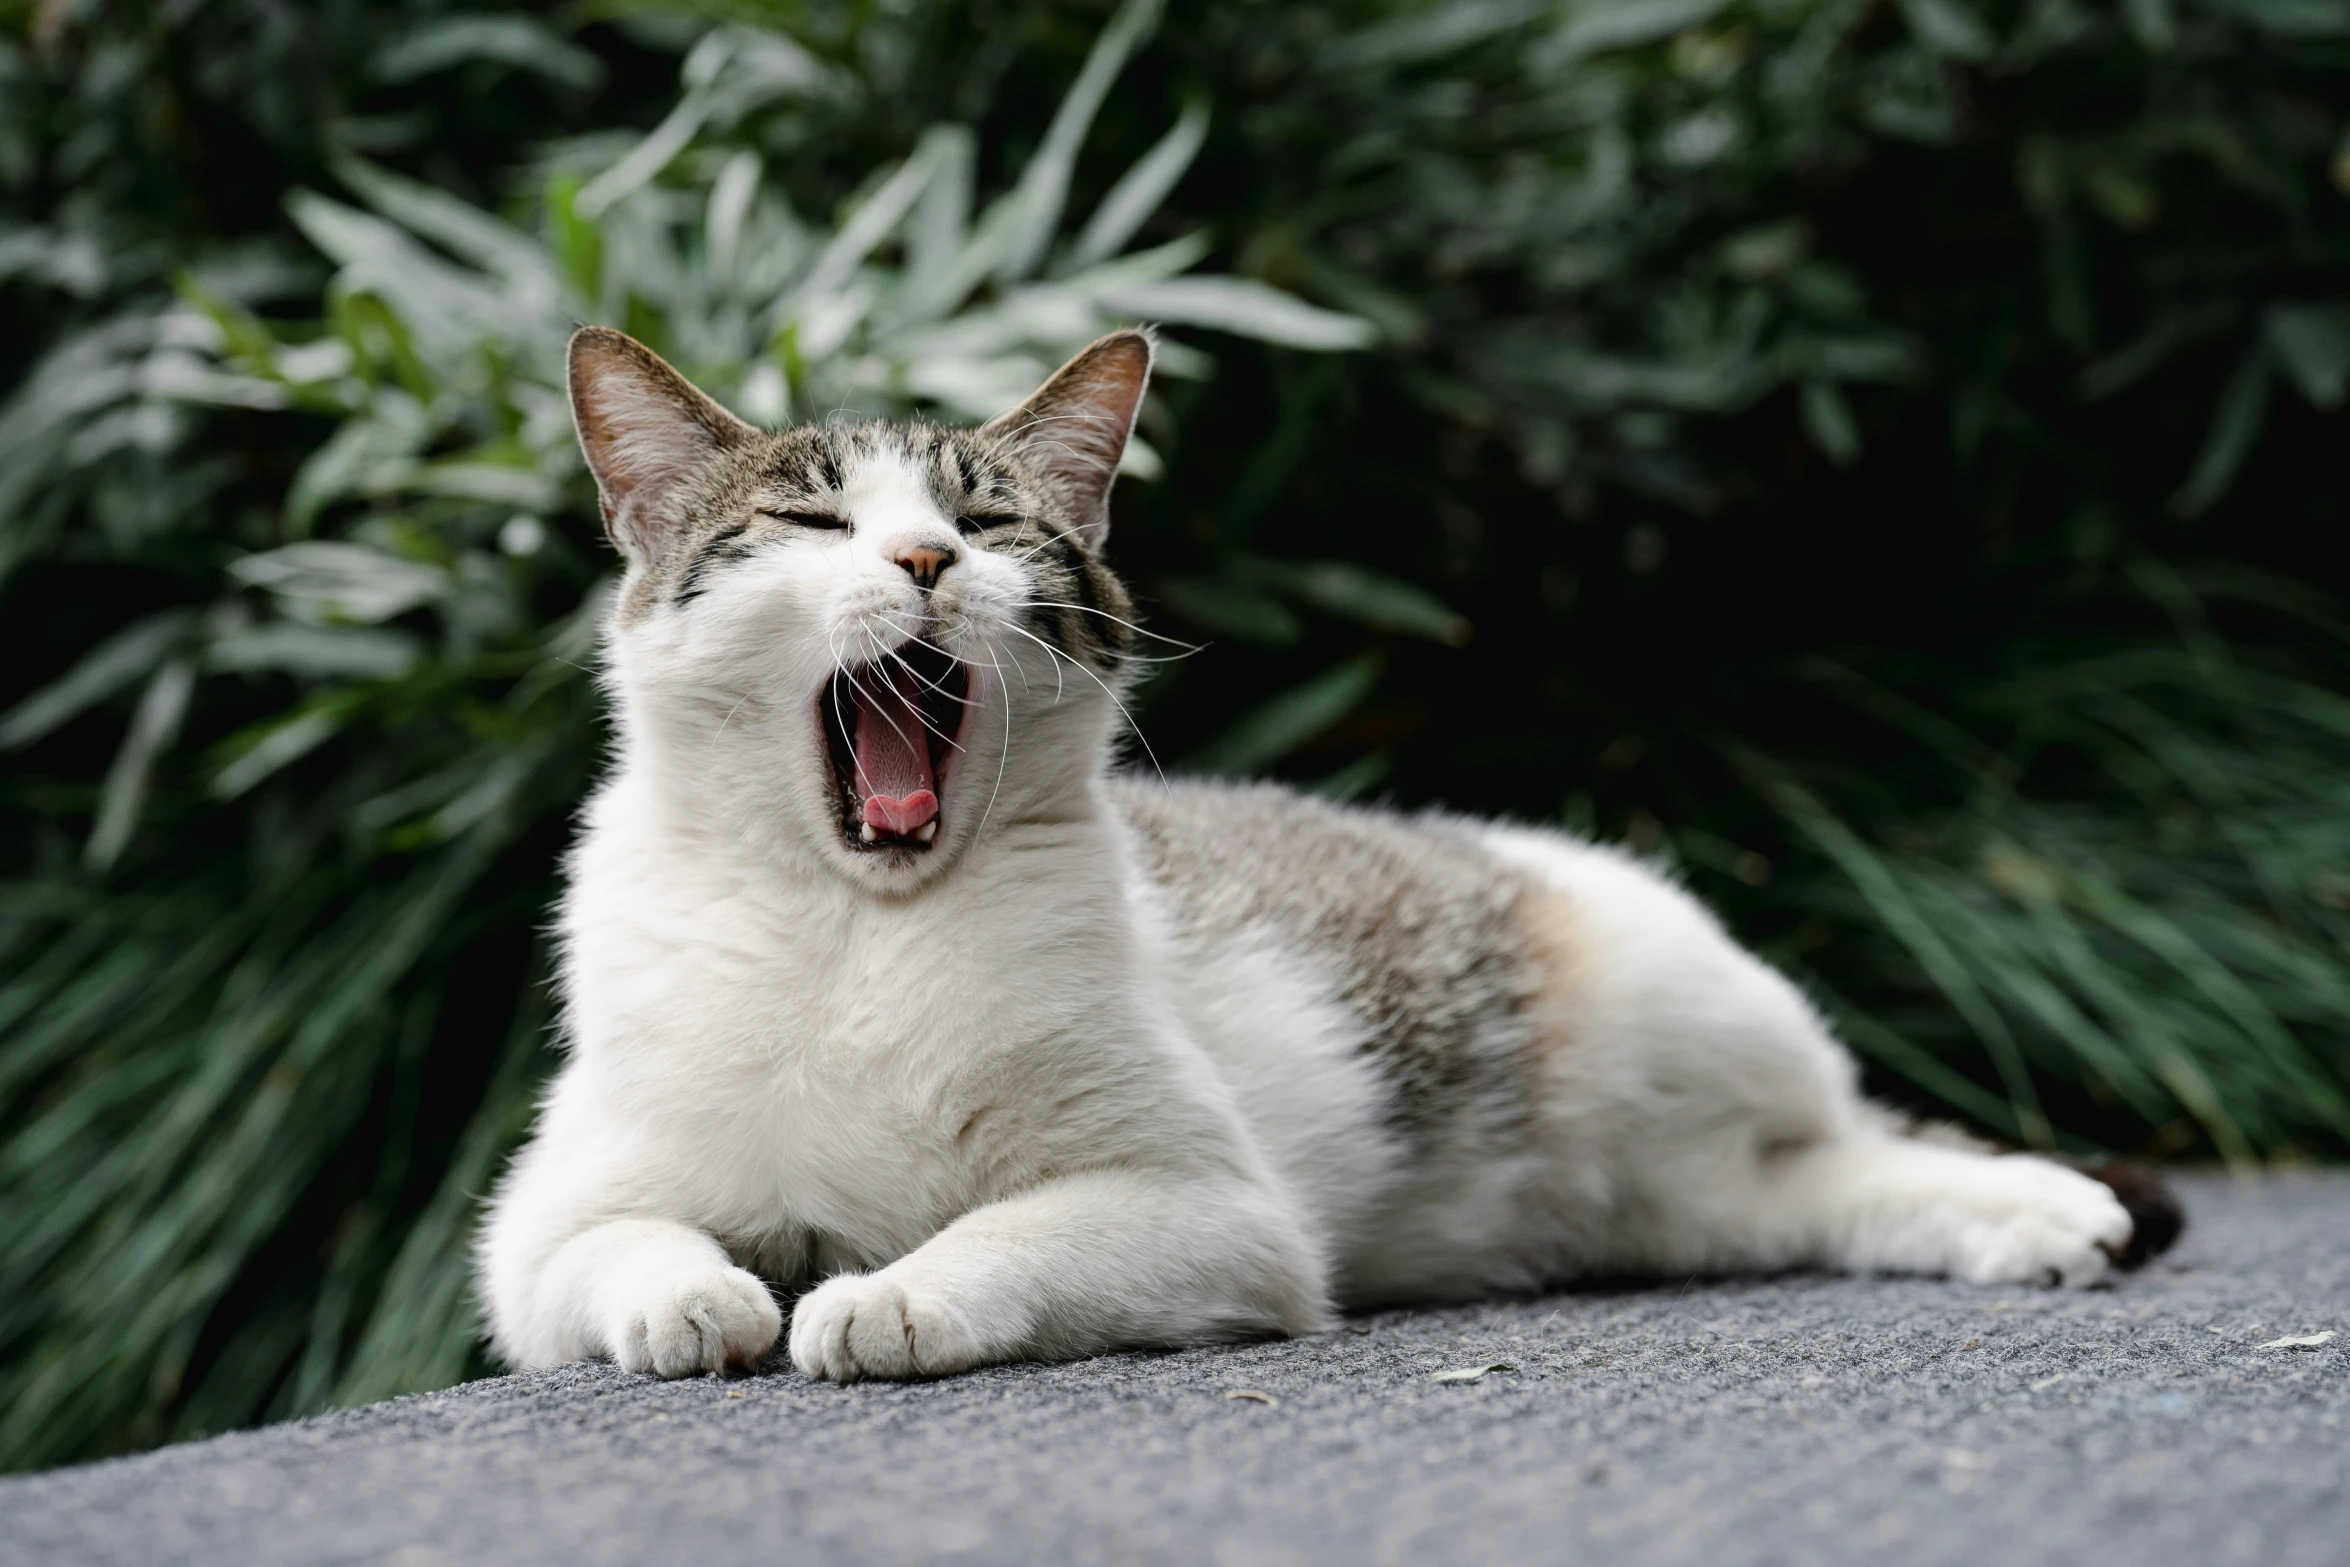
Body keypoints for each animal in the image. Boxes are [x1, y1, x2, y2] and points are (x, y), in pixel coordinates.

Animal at [467, 324, 2171, 1381]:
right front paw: (708, 1297)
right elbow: (625, 1250)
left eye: (992, 522)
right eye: (813, 521)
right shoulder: (540, 1226)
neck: (860, 928)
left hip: (1696, 997)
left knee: (1855, 1136)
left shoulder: (1208, 1211)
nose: (926, 557)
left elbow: (1002, 1233)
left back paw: (2047, 1209)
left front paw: (883, 1293)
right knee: (1817, 1188)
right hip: (1688, 1199)